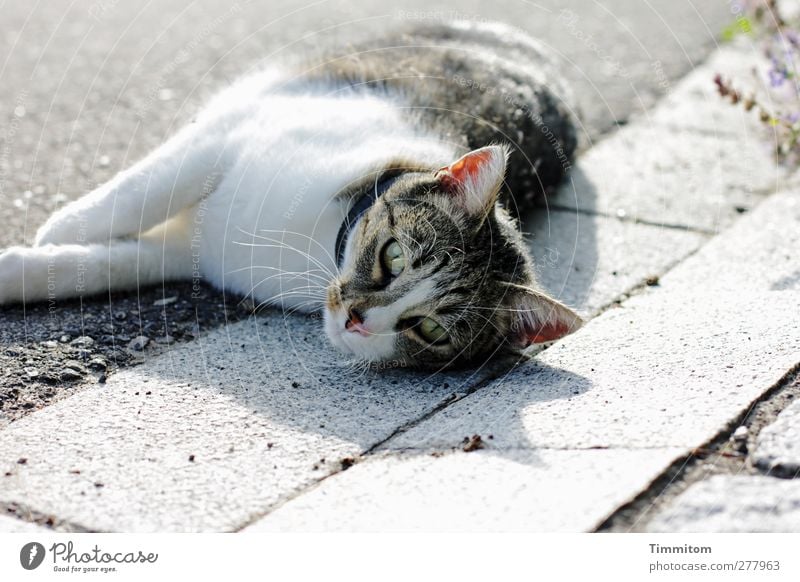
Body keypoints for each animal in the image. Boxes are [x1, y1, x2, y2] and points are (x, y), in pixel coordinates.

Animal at [0, 21, 580, 370]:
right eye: (393, 256)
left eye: (431, 329)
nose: (356, 320)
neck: (318, 248)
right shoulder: (230, 133)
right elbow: (139, 194)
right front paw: (57, 227)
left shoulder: (196, 254)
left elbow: (107, 266)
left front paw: (22, 271)